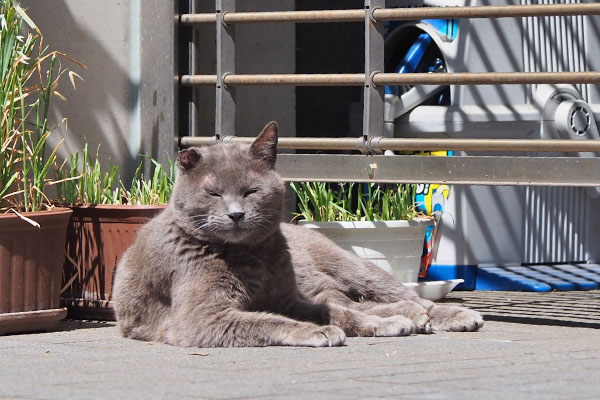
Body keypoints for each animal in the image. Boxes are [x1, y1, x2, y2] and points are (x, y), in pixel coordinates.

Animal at [113, 121, 482, 346]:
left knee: (395, 296)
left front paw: (372, 325)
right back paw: (409, 317)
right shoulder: (202, 318)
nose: (235, 213)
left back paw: (450, 316)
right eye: (214, 193)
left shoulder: (287, 299)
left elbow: (335, 312)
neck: (252, 259)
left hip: (354, 267)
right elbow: (266, 320)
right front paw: (320, 332)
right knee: (354, 301)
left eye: (250, 191)